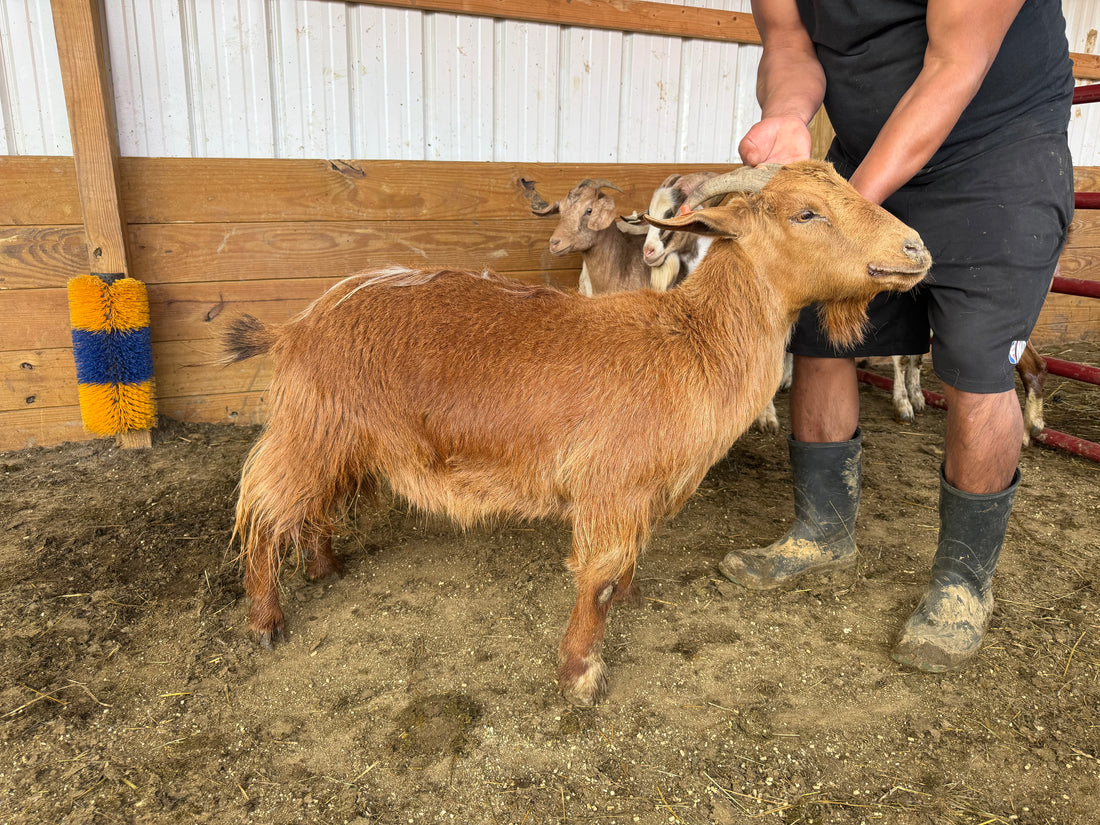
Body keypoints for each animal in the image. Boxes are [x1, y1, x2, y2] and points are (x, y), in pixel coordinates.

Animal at [225, 160, 931, 706]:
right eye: (806, 213)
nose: (916, 250)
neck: (690, 342)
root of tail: (299, 326)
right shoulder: (611, 487)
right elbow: (597, 578)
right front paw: (580, 676)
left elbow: (625, 571)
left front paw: (630, 603)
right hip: (311, 425)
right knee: (264, 506)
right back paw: (265, 619)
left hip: (338, 437)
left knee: (309, 502)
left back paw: (323, 565)